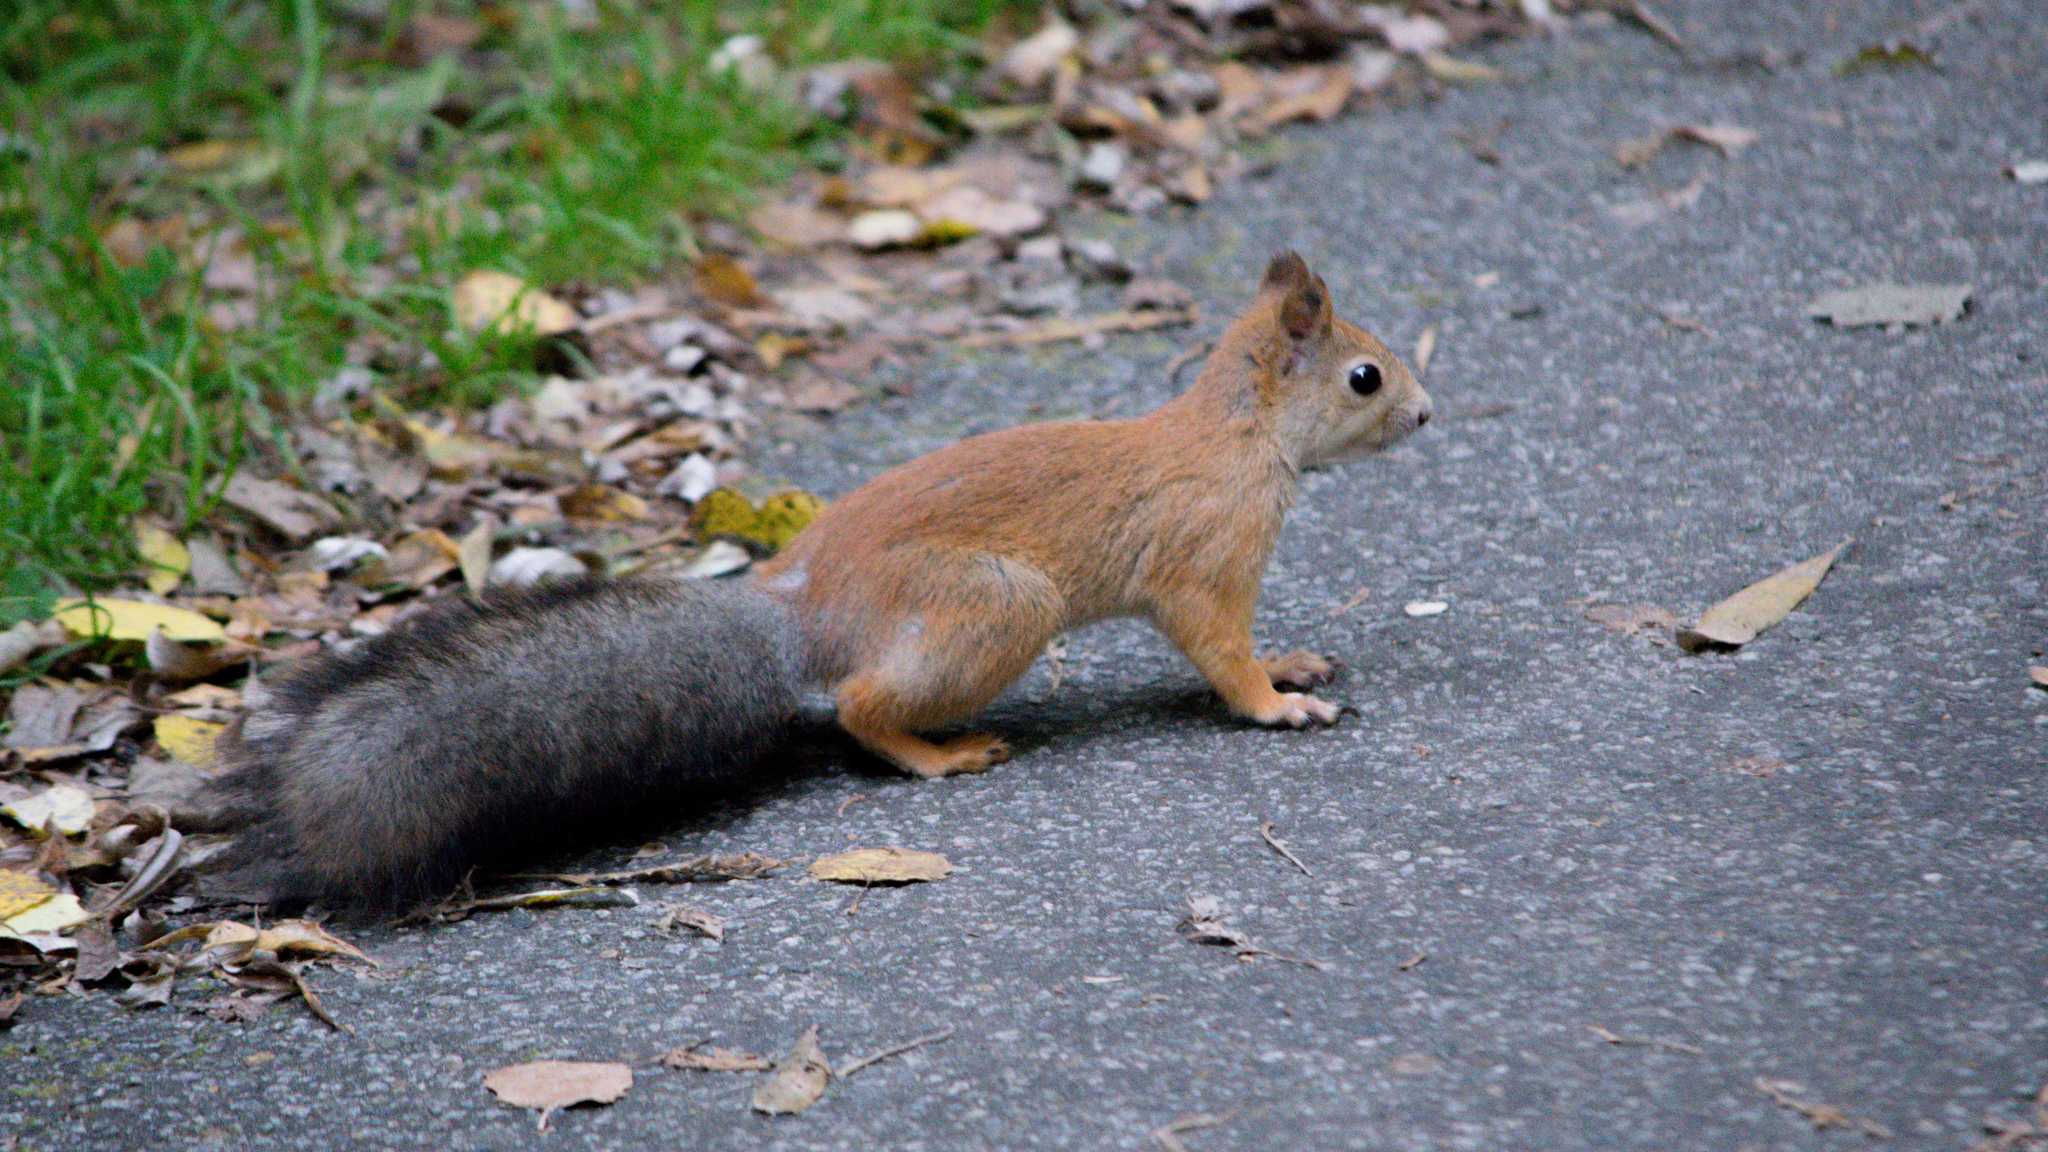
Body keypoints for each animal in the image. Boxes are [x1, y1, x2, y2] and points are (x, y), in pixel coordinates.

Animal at [207, 253, 1425, 906]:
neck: (1239, 435)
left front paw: (1293, 660)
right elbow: (1217, 648)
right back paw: (941, 754)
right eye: (1364, 376)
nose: (1425, 415)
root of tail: (802, 614)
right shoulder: (1204, 556)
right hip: (997, 606)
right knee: (859, 707)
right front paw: (1276, 702)